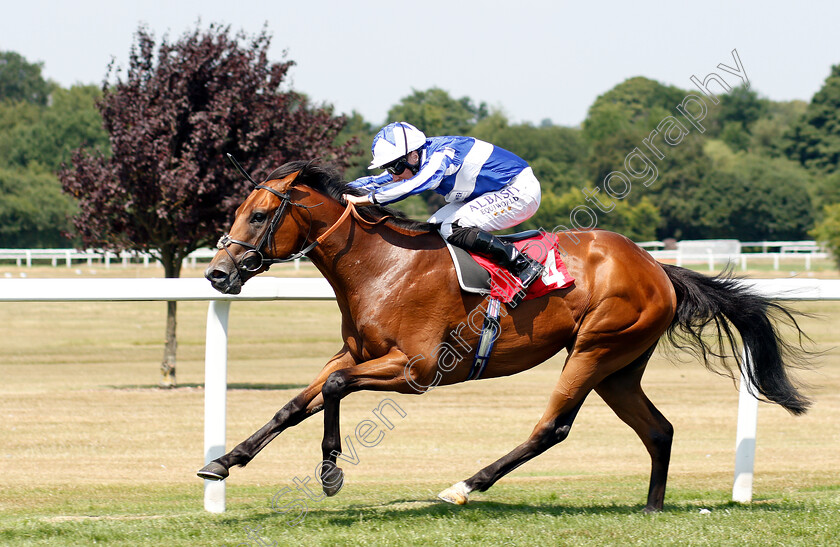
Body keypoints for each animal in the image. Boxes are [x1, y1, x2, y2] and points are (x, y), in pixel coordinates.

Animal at [199, 161, 812, 512]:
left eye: (259, 216)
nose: (217, 274)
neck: (380, 266)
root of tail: (657, 267)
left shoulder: (415, 369)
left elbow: (333, 390)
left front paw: (330, 473)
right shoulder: (354, 354)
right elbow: (294, 404)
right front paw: (223, 462)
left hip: (594, 349)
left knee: (552, 427)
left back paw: (465, 486)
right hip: (618, 368)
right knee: (659, 430)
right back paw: (652, 508)